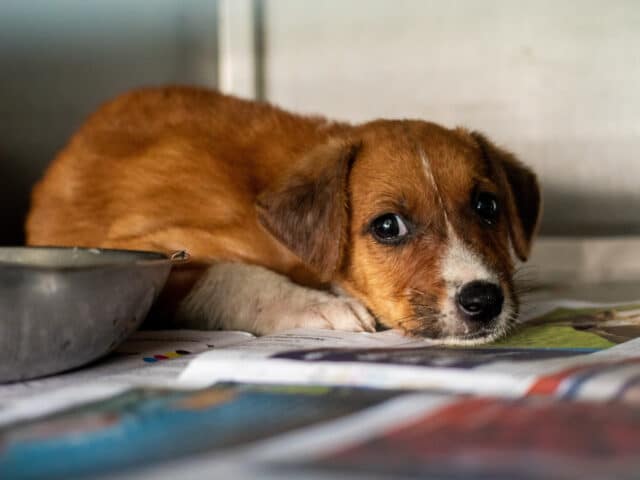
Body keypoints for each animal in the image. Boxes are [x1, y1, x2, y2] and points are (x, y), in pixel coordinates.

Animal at [27, 85, 544, 342]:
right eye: (387, 226)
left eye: (487, 206)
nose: (484, 301)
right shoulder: (154, 250)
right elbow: (234, 275)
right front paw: (319, 306)